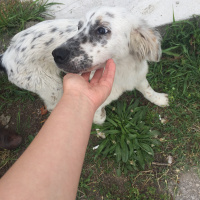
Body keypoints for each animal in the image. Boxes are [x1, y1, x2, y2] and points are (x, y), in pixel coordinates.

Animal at [0, 6, 169, 123]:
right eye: (79, 27)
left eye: (102, 30)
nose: (57, 54)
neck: (123, 68)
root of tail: (6, 54)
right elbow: (98, 117)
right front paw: (100, 119)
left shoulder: (138, 76)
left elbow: (147, 89)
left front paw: (159, 99)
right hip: (49, 85)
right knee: (52, 105)